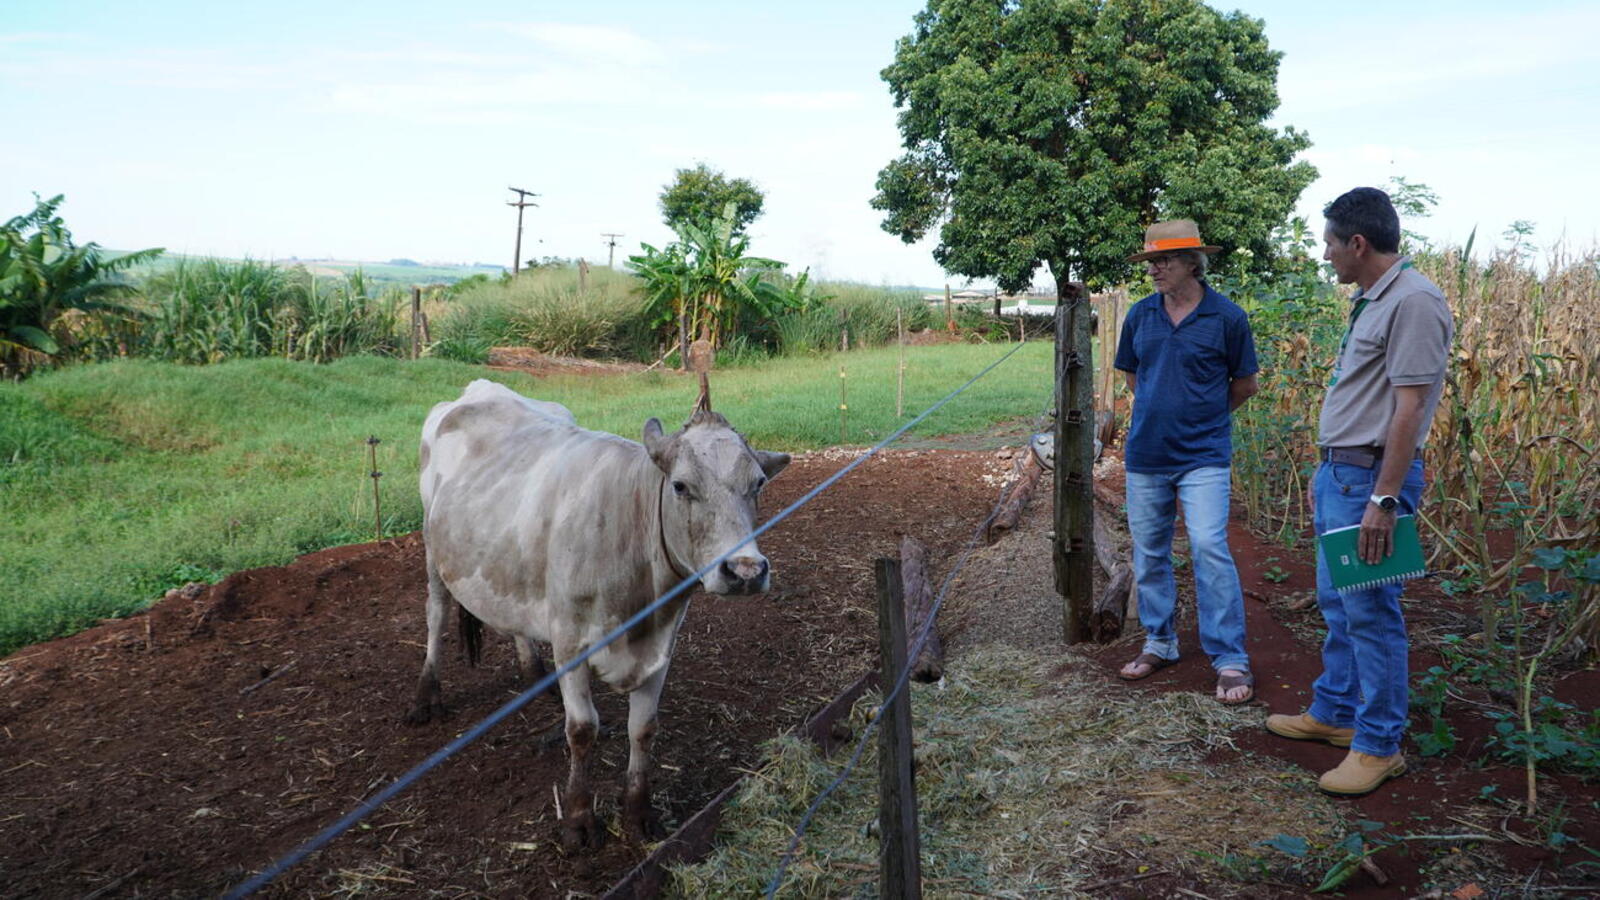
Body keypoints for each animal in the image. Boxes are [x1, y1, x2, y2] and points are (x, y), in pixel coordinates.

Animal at [406, 381, 787, 845]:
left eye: (758, 483)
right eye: (681, 486)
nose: (746, 571)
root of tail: (478, 389)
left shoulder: (662, 644)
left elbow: (644, 729)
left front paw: (638, 813)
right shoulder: (570, 641)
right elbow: (583, 729)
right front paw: (578, 820)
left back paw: (535, 674)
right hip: (433, 550)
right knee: (436, 613)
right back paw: (427, 696)